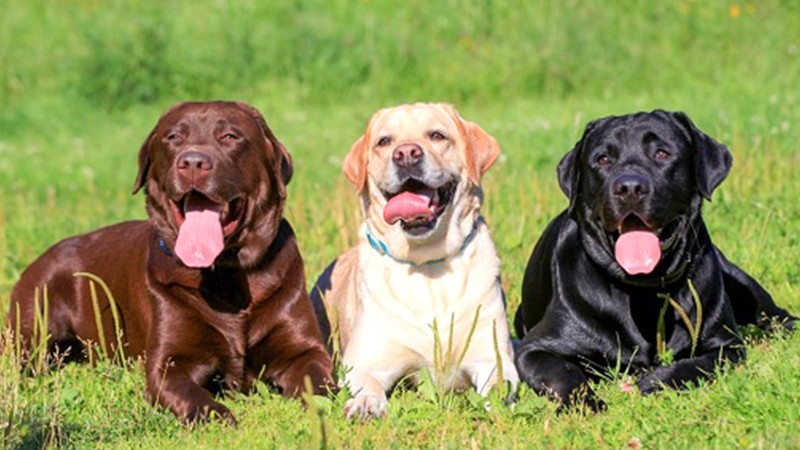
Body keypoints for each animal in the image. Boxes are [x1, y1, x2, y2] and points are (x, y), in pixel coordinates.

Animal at [512, 110, 792, 412]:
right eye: (603, 159)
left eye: (661, 153)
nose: (630, 188)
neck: (644, 292)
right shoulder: (534, 349)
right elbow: (565, 373)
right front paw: (586, 404)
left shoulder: (726, 344)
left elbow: (693, 365)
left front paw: (652, 381)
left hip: (742, 284)